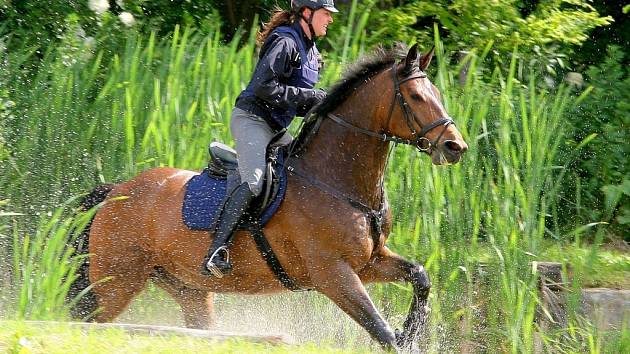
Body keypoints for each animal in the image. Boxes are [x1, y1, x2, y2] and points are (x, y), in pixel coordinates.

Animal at [68, 44, 470, 352]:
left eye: (437, 95)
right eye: (415, 96)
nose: (456, 147)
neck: (336, 182)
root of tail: (115, 191)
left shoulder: (369, 262)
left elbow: (420, 277)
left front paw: (412, 330)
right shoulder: (334, 274)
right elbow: (380, 329)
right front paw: (403, 336)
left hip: (188, 289)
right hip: (116, 282)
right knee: (87, 321)